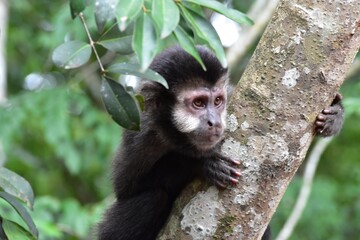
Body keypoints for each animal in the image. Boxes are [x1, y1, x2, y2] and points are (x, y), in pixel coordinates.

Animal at [97, 45, 344, 240]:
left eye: (217, 101)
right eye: (198, 103)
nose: (214, 121)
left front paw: (335, 115)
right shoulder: (142, 135)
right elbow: (126, 188)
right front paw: (200, 165)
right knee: (152, 199)